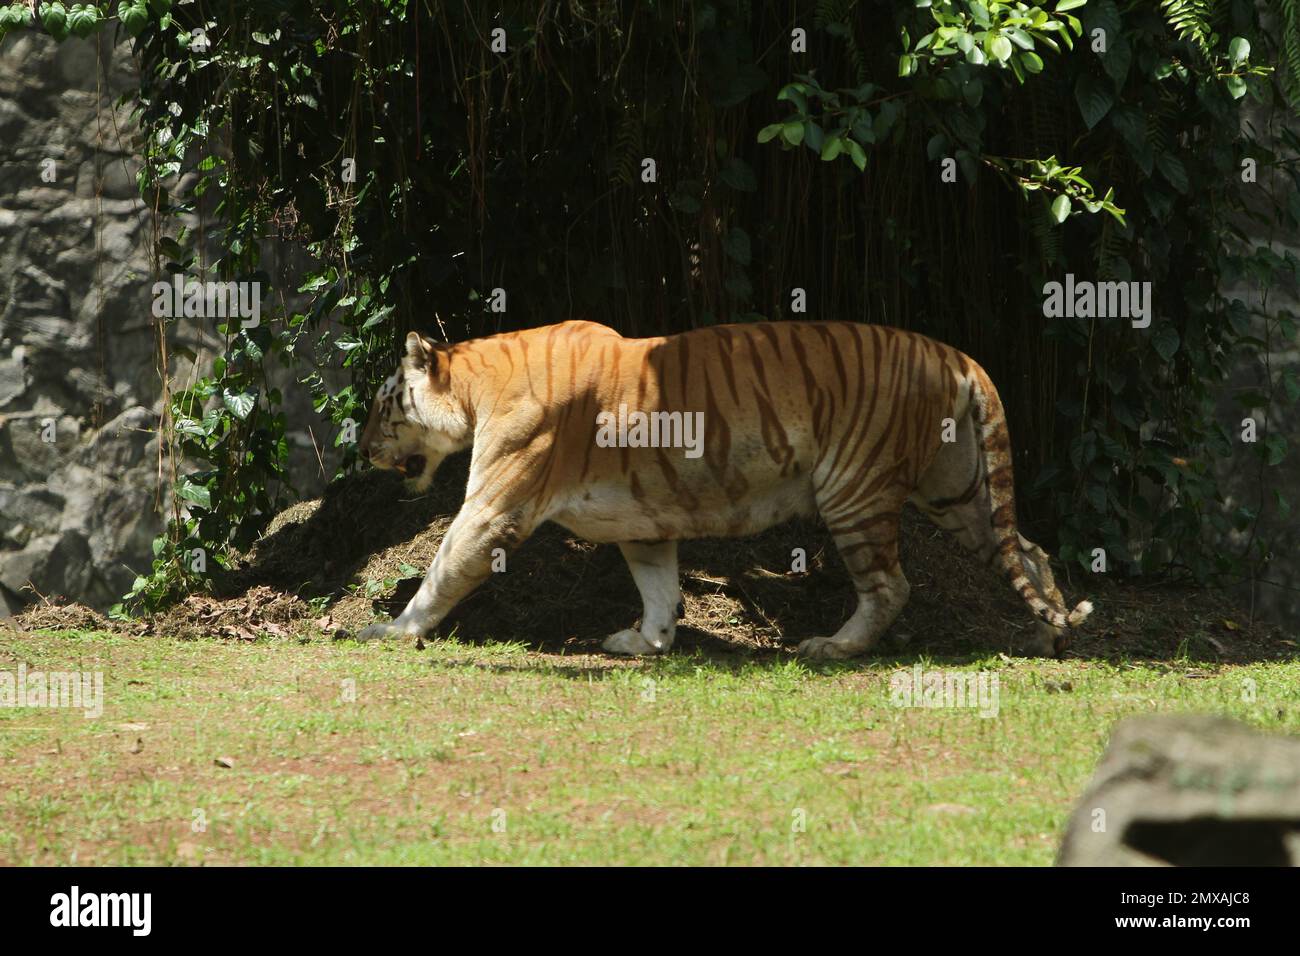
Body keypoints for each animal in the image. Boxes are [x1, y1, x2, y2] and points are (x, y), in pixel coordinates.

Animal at [353, 321, 1086, 658]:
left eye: (384, 405)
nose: (361, 451)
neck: (475, 384)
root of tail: (956, 354)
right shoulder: (642, 522)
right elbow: (659, 589)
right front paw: (647, 644)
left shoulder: (492, 509)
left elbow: (444, 569)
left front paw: (389, 630)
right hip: (955, 490)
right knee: (1030, 551)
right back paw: (1049, 637)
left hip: (854, 489)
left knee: (891, 586)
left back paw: (832, 648)